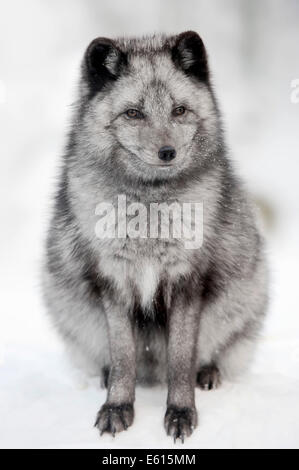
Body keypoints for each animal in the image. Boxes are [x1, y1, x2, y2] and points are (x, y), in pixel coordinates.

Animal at [42, 32, 270, 440]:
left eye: (179, 111)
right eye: (134, 113)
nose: (167, 152)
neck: (149, 211)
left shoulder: (187, 281)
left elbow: (181, 358)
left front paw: (180, 413)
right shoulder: (113, 280)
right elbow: (123, 356)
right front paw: (117, 407)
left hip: (244, 293)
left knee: (216, 353)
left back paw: (208, 373)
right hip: (64, 299)